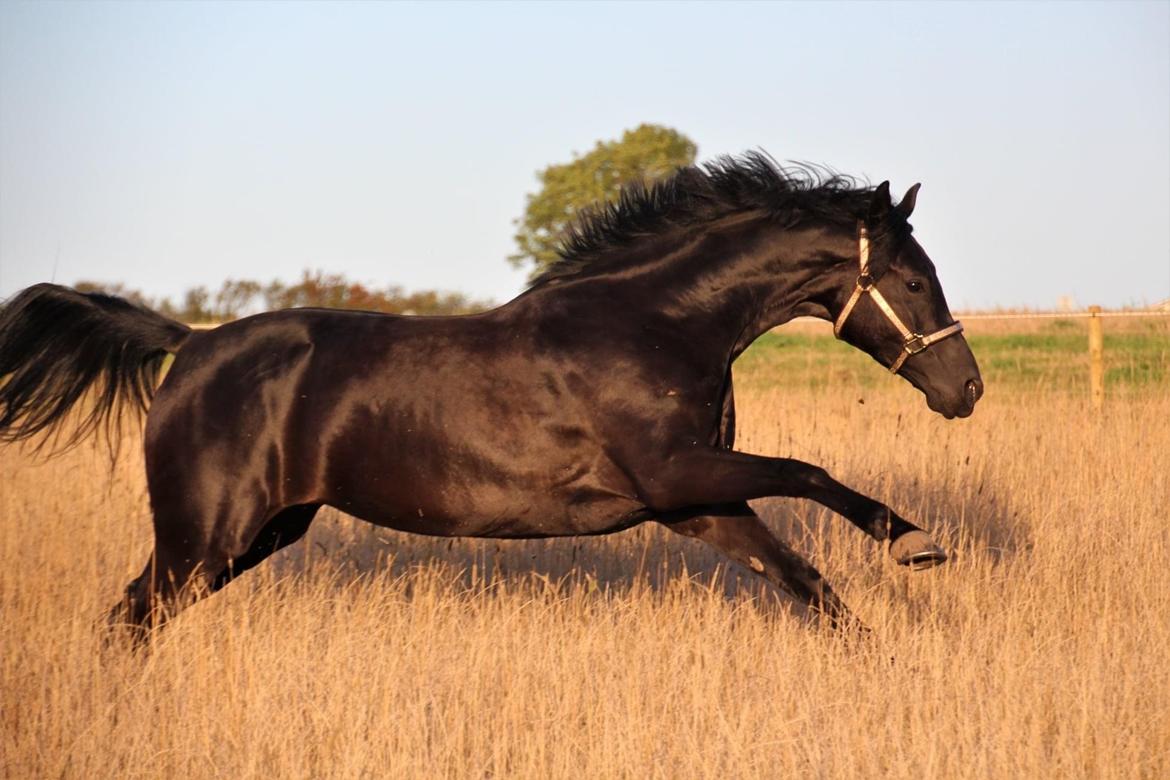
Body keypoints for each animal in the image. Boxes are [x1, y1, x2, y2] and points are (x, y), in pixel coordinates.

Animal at [0, 152, 978, 636]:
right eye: (913, 277)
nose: (964, 388)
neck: (653, 322)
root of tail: (192, 344)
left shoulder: (694, 500)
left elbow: (807, 584)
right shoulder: (676, 472)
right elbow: (808, 473)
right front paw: (914, 542)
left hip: (256, 537)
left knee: (132, 619)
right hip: (206, 537)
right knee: (129, 618)